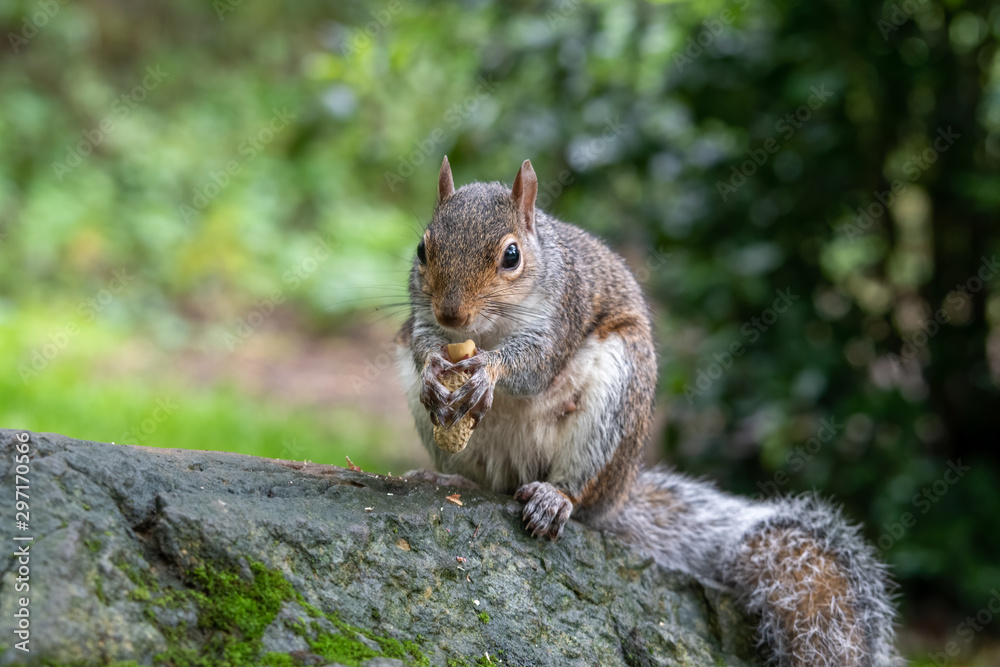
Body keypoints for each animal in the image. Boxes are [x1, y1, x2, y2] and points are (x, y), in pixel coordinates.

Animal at [396, 157, 902, 667]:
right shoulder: (419, 318)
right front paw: (436, 369)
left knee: (579, 492)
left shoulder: (564, 310)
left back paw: (554, 498)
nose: (452, 315)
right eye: (421, 249)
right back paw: (448, 479)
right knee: (482, 480)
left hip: (616, 398)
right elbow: (423, 341)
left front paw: (488, 372)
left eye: (512, 256)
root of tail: (617, 497)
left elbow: (536, 363)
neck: (489, 330)